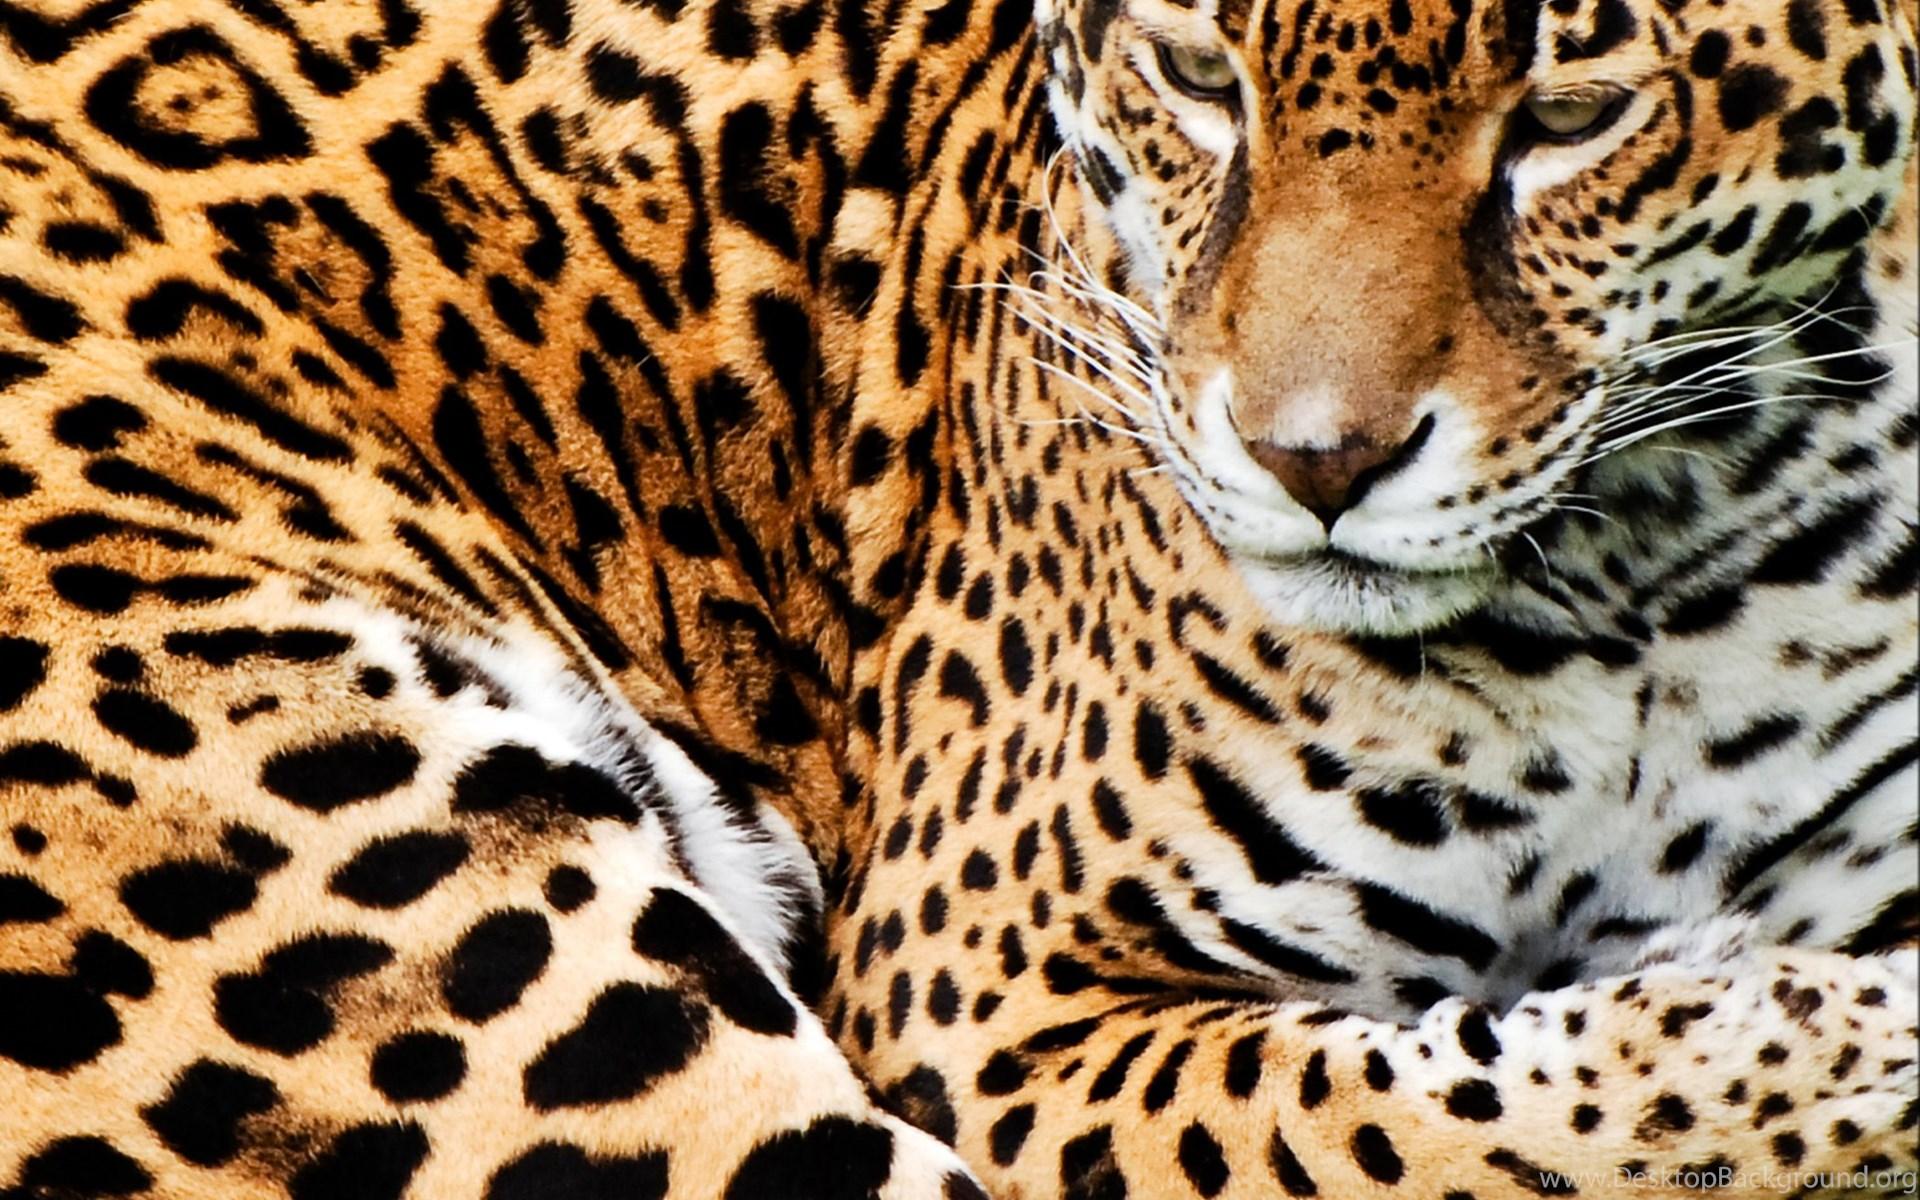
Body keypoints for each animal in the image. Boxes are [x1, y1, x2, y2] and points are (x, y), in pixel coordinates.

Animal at [0, 0, 1913, 1198]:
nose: (1312, 462)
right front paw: (1827, 1032)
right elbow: (1423, 1128)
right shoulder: (994, 997)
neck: (1654, 575)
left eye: (1575, 116)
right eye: (1196, 74)